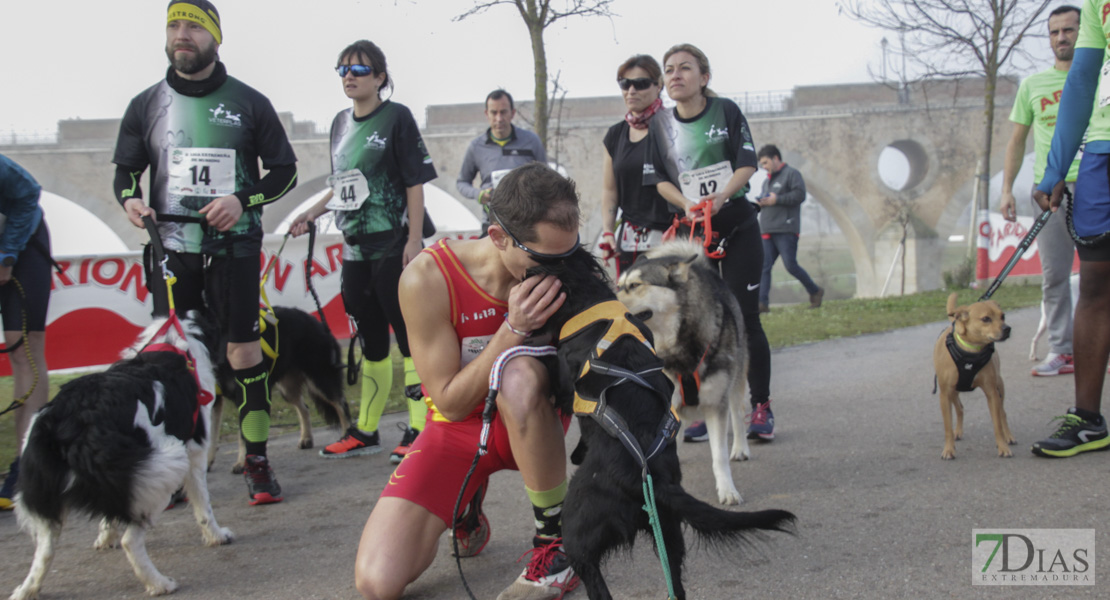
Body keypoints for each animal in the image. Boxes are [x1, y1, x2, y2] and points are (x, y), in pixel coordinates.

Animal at [11, 310, 231, 594]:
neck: (173, 342)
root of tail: (73, 417)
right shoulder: (195, 454)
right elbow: (204, 507)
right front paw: (217, 536)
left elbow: (109, 516)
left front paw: (106, 536)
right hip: (163, 469)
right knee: (131, 541)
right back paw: (159, 583)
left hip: (52, 492)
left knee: (45, 551)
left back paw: (27, 590)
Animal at [612, 240, 750, 503]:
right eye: (618, 285)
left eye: (635, 285)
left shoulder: (716, 403)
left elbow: (719, 456)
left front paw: (727, 490)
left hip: (735, 380)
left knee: (738, 415)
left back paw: (740, 448)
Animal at [927, 290, 1016, 459]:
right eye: (986, 319)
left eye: (1003, 316)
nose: (1007, 329)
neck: (970, 351)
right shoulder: (944, 395)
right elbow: (947, 427)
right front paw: (949, 449)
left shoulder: (992, 393)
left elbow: (997, 425)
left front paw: (1002, 446)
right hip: (953, 392)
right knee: (960, 408)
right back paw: (958, 431)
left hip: (999, 387)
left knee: (1003, 413)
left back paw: (1009, 436)